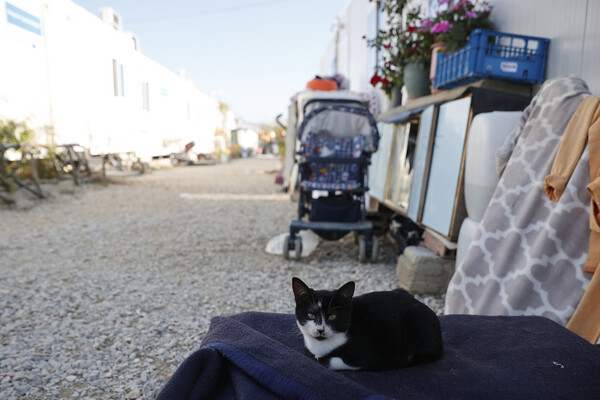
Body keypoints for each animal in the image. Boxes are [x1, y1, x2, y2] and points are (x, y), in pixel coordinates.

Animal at [292, 276, 442, 370]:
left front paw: (322, 359)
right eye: (310, 315)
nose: (320, 330)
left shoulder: (368, 353)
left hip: (418, 319)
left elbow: (328, 361)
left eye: (333, 316)